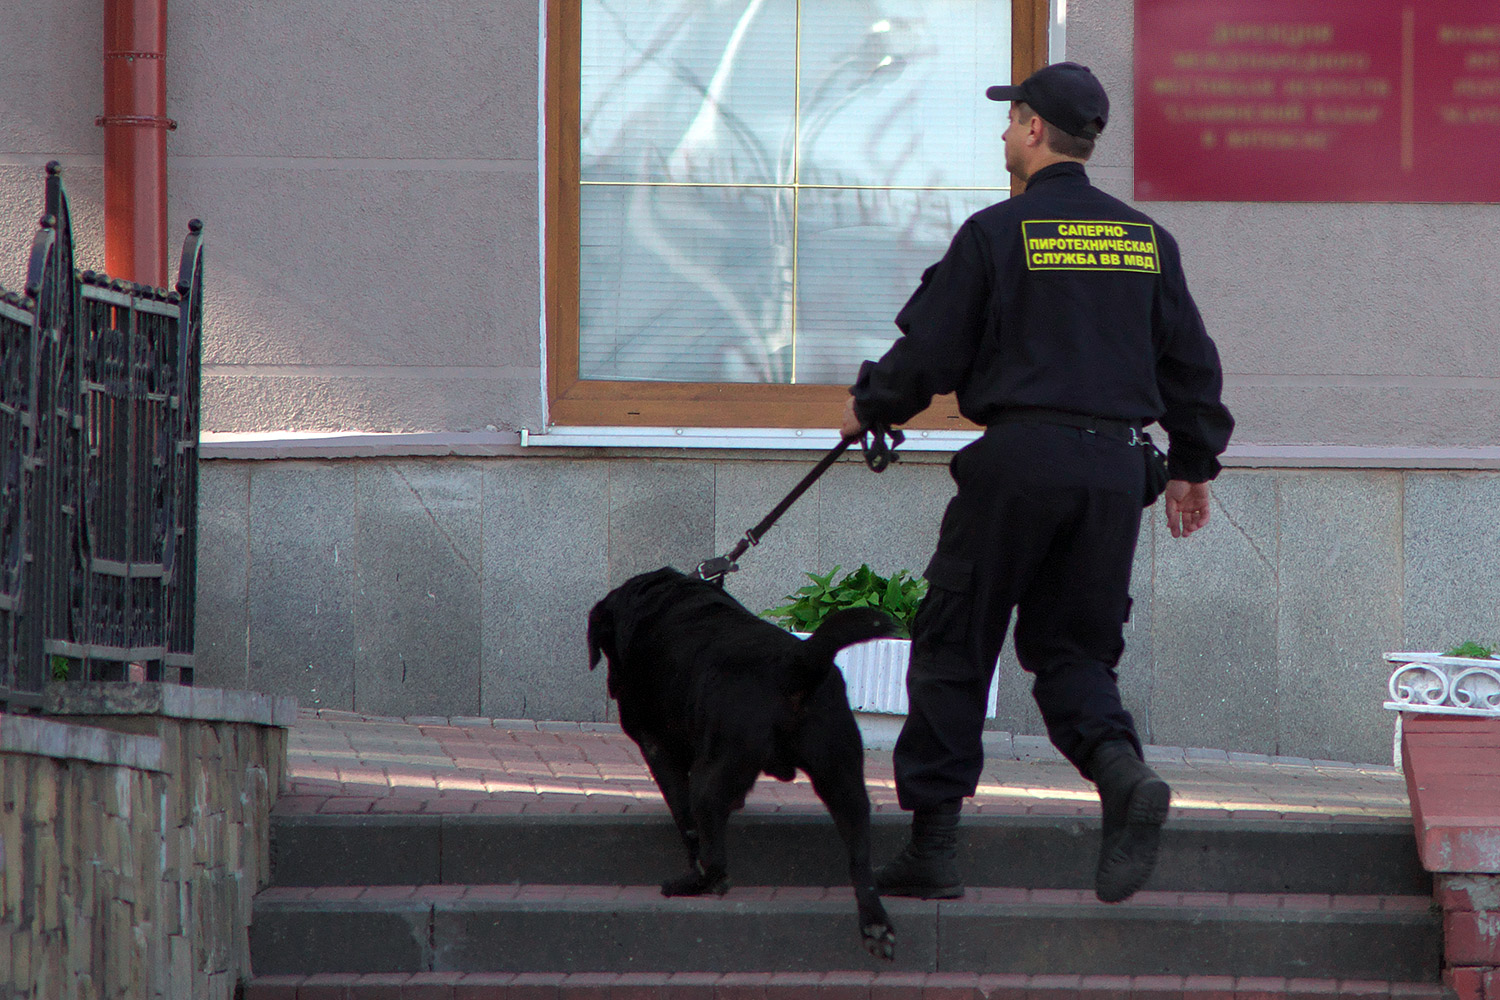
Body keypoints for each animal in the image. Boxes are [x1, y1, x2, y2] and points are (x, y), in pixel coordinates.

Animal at [588, 566, 900, 959]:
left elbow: (685, 819)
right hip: (842, 774)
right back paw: (876, 923)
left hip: (710, 777)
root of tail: (795, 661)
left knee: (715, 856)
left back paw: (695, 882)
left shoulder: (657, 746)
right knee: (860, 855)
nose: (613, 687)